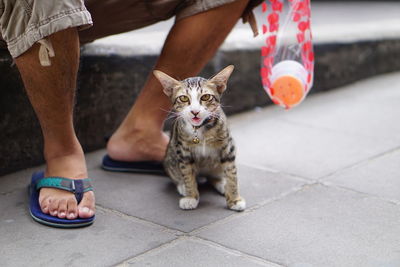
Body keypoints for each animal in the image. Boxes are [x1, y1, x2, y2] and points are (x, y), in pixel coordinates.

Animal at [154, 65, 245, 211]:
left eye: (206, 97)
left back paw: (222, 183)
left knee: (215, 175)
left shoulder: (228, 148)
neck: (200, 129)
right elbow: (187, 174)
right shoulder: (183, 152)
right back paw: (182, 186)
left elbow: (232, 173)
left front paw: (234, 199)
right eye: (183, 98)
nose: (195, 111)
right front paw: (191, 196)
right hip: (170, 156)